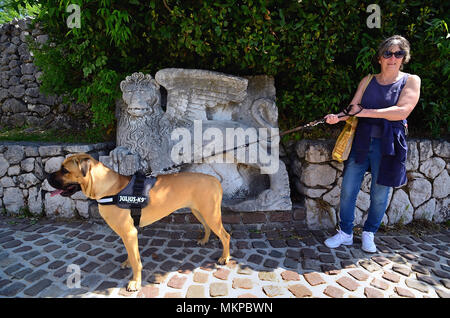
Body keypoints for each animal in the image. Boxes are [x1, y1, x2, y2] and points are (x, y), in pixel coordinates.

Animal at [47, 153, 230, 290]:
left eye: (65, 170)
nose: (47, 176)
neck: (108, 189)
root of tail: (215, 180)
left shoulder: (129, 232)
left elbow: (137, 261)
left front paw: (135, 282)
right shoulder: (127, 234)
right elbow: (131, 253)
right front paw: (128, 262)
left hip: (210, 213)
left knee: (225, 236)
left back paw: (225, 258)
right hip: (199, 211)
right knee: (207, 227)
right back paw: (204, 240)